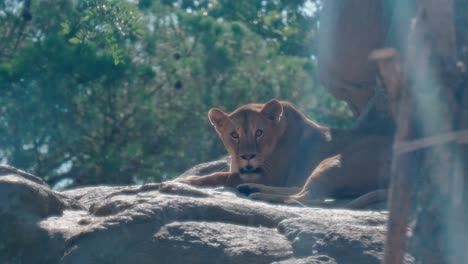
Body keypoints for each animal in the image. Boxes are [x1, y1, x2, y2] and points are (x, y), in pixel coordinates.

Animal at [177, 99, 394, 208]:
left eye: (259, 132)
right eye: (234, 135)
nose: (247, 157)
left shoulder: (272, 175)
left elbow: (220, 175)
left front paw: (185, 181)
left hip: (333, 161)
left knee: (306, 198)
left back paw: (259, 195)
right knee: (300, 190)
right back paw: (250, 189)